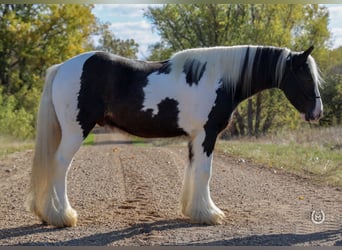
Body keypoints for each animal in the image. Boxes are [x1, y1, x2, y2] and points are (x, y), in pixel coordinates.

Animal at [27, 44, 324, 227]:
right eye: (305, 76)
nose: (317, 113)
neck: (217, 77)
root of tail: (62, 67)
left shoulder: (195, 137)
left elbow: (193, 171)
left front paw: (195, 212)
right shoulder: (207, 134)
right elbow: (205, 173)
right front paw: (210, 214)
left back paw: (47, 214)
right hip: (76, 131)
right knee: (59, 166)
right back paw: (62, 216)